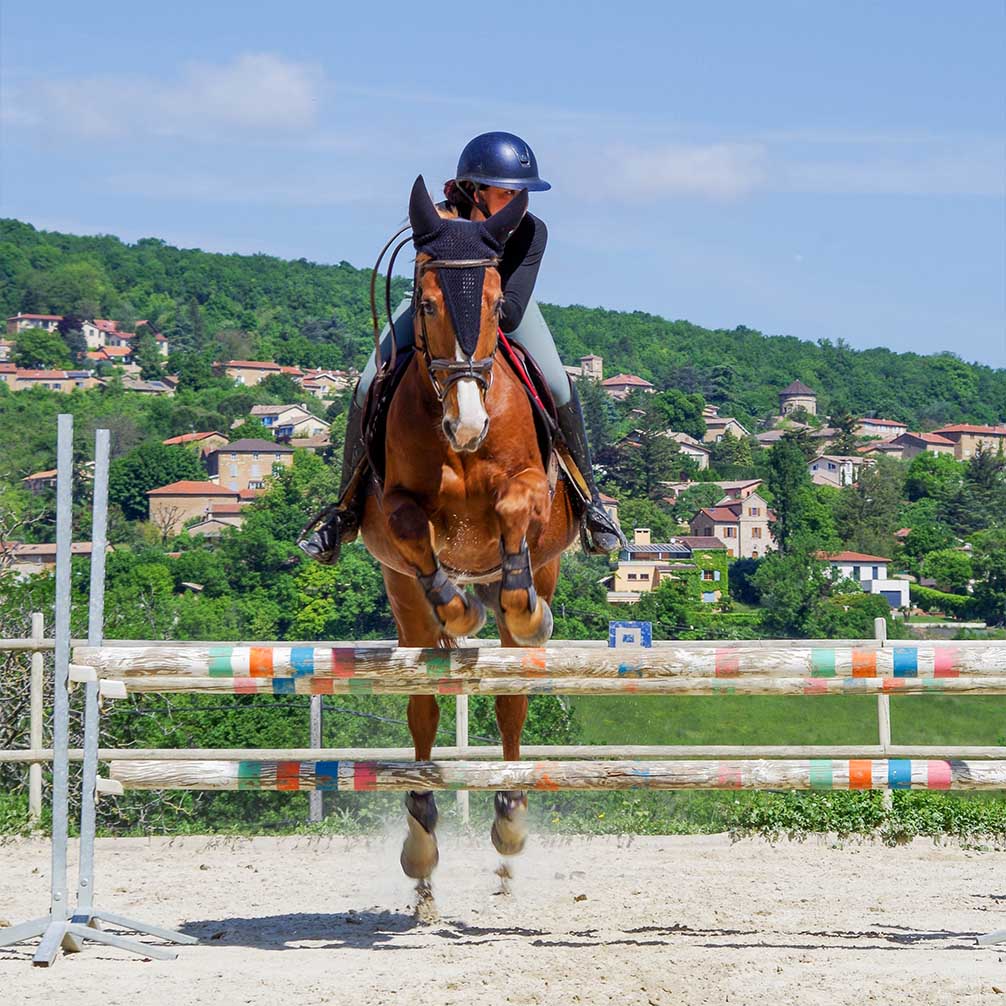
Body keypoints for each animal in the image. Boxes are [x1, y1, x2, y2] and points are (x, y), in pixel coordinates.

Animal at [358, 177, 579, 885]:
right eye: (425, 303)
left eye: (494, 304)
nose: (468, 425)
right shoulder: (394, 507)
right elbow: (410, 523)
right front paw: (458, 611)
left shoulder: (530, 488)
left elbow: (511, 507)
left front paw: (519, 609)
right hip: (403, 601)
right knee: (423, 702)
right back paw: (421, 838)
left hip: (545, 568)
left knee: (511, 696)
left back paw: (510, 816)